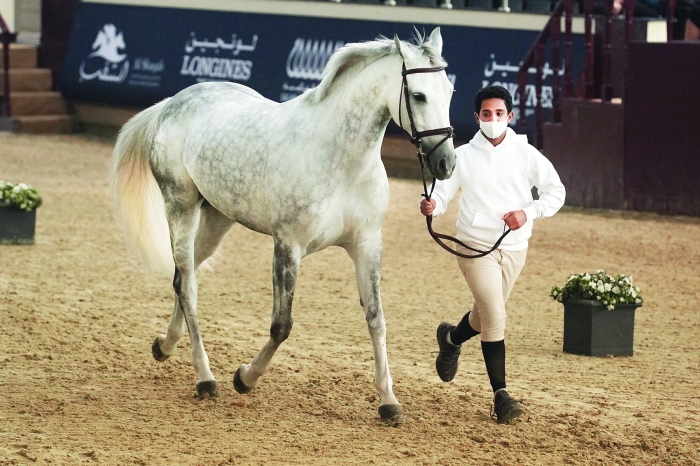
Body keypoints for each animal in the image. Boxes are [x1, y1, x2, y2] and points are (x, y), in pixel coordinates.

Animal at [110, 28, 454, 422]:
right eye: (418, 95)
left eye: (449, 92)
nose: (445, 164)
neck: (339, 161)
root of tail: (170, 103)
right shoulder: (289, 245)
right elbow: (281, 325)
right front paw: (245, 377)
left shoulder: (367, 245)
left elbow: (376, 319)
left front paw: (389, 402)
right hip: (180, 206)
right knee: (188, 286)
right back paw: (205, 378)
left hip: (218, 218)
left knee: (184, 277)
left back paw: (164, 346)